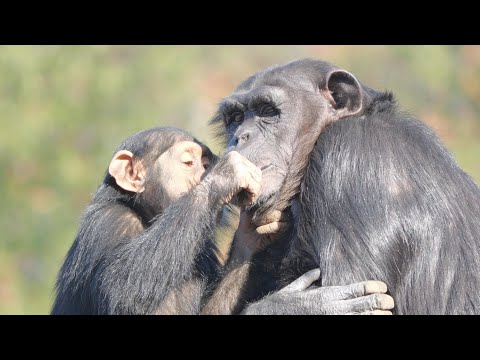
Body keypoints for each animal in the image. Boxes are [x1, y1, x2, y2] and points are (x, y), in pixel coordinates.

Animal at [51, 125, 394, 314]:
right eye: (189, 162)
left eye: (203, 162)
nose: (206, 170)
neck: (147, 216)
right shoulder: (113, 224)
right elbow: (126, 290)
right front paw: (293, 308)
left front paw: (253, 234)